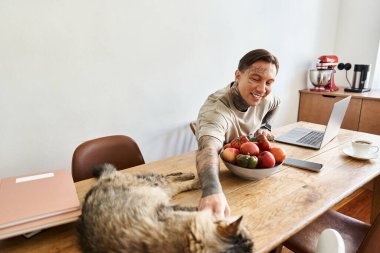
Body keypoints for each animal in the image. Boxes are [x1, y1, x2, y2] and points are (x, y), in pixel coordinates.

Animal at [76, 163, 252, 252]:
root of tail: (103, 179)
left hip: (158, 185)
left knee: (170, 178)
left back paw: (189, 175)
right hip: (159, 186)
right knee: (173, 182)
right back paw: (194, 180)